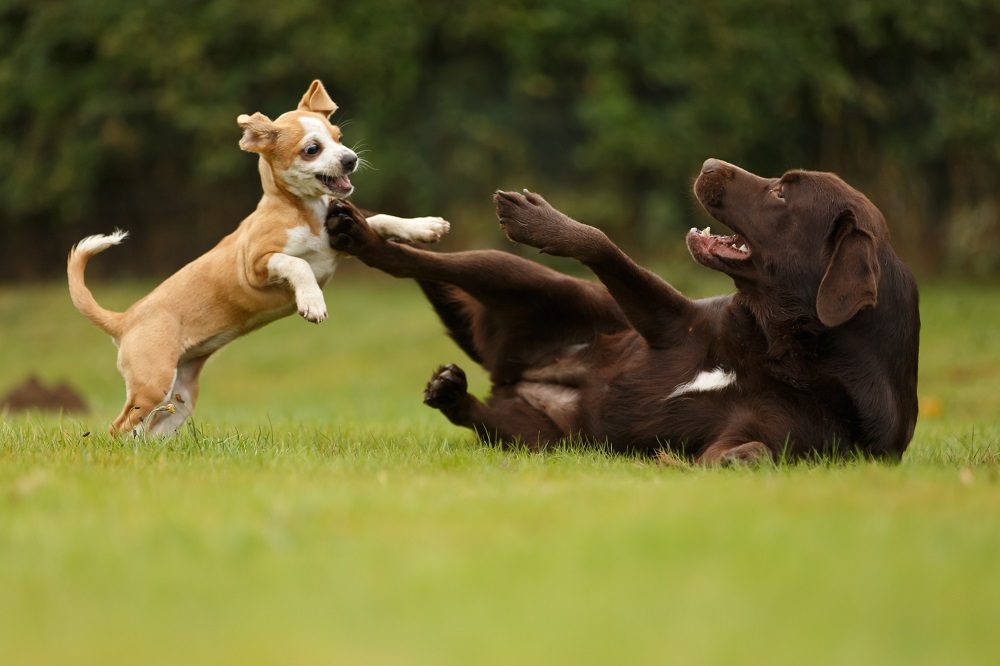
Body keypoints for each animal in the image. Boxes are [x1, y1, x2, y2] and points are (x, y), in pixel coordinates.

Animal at [66, 80, 450, 434]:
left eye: (339, 137)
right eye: (312, 149)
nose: (350, 159)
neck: (302, 211)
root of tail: (124, 319)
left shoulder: (341, 242)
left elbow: (381, 220)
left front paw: (424, 226)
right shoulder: (257, 264)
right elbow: (297, 263)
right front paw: (312, 302)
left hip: (179, 394)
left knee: (147, 430)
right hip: (152, 383)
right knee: (118, 427)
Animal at [328, 160, 920, 462]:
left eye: (780, 193)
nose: (708, 163)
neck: (784, 348)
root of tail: (511, 374)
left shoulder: (762, 436)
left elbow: (743, 453)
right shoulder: (671, 323)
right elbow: (603, 244)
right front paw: (547, 223)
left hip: (550, 439)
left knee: (481, 415)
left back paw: (452, 392)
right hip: (515, 273)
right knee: (415, 263)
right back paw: (362, 232)